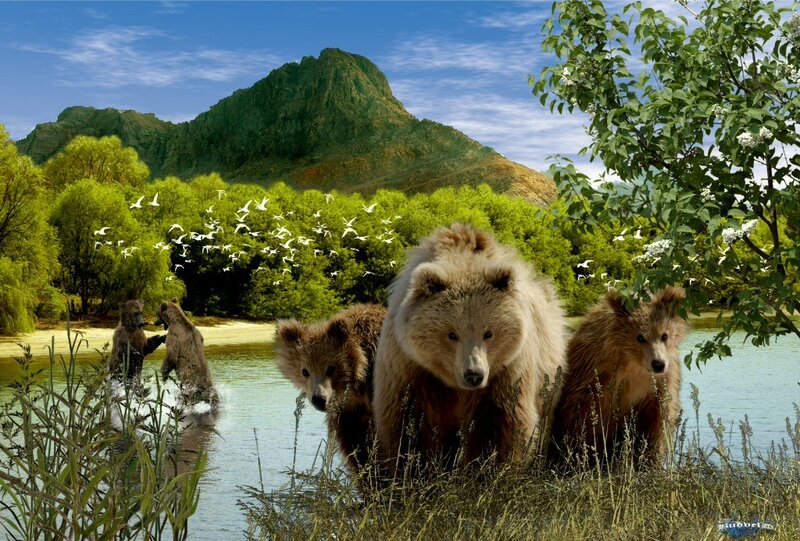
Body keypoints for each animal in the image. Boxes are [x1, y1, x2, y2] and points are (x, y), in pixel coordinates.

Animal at [373, 223, 567, 477]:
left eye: (488, 333)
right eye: (452, 334)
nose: (474, 374)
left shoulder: (506, 371)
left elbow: (499, 424)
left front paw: (485, 471)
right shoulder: (410, 367)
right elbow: (408, 422)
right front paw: (414, 470)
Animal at [549, 287, 688, 469]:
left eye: (665, 335)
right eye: (640, 337)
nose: (658, 363)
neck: (634, 364)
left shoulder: (659, 386)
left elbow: (658, 423)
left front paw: (650, 460)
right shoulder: (598, 377)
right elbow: (584, 418)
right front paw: (582, 457)